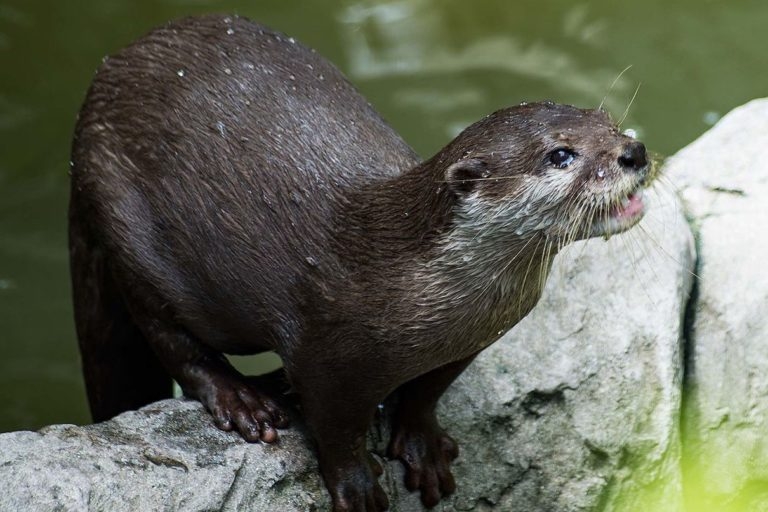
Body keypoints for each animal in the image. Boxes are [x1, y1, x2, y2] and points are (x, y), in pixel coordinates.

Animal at [69, 14, 652, 512]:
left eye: (611, 125)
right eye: (561, 155)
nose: (635, 153)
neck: (408, 282)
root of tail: (94, 96)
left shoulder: (470, 342)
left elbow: (428, 391)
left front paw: (423, 444)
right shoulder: (326, 352)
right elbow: (335, 428)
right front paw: (355, 485)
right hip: (126, 223)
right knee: (168, 334)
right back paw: (242, 399)